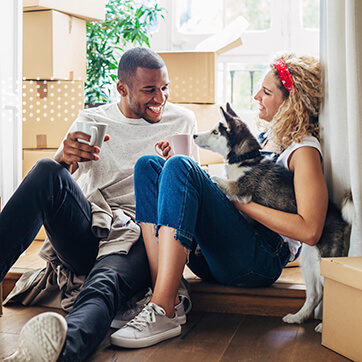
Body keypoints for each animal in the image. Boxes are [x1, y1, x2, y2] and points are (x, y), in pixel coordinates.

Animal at [194, 103, 354, 332]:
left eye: (216, 131)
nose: (194, 135)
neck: (245, 159)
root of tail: (341, 218)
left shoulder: (240, 189)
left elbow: (214, 178)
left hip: (325, 260)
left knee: (329, 292)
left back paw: (326, 327)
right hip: (309, 262)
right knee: (315, 294)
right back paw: (297, 318)